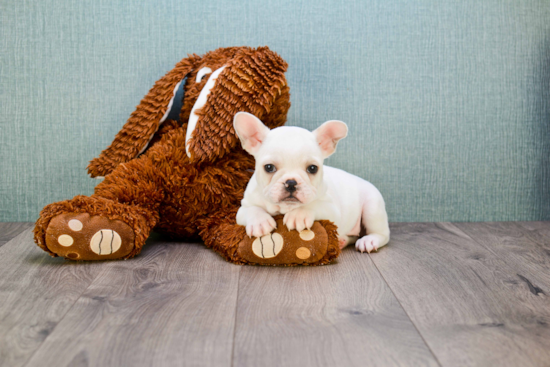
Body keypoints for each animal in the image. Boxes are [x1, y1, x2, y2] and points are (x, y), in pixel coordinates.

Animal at [235, 113, 390, 254]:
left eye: (312, 168)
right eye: (269, 167)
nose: (291, 183)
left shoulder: (332, 210)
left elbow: (314, 205)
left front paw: (299, 214)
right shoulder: (243, 208)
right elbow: (252, 209)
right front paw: (259, 222)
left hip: (372, 207)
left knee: (382, 234)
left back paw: (369, 240)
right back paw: (342, 240)